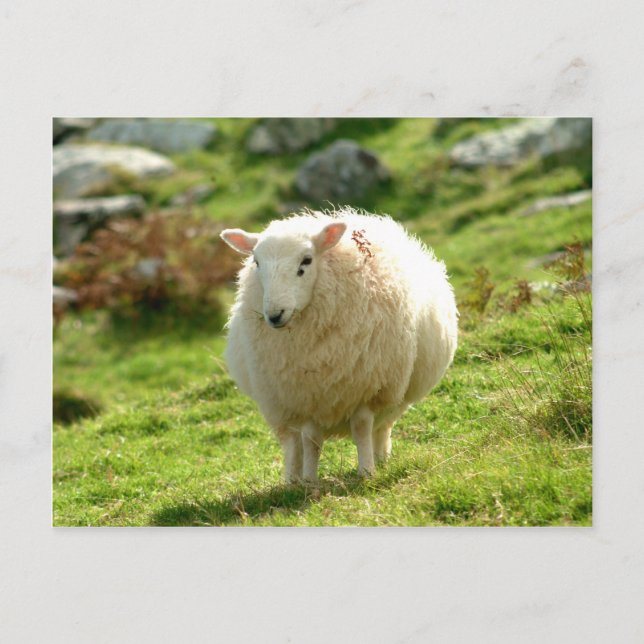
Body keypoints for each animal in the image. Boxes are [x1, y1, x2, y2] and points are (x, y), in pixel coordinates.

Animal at [220, 208, 458, 483]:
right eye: (257, 263)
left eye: (306, 261)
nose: (274, 315)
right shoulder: (305, 396)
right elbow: (310, 440)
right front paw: (309, 481)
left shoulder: (365, 387)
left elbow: (362, 427)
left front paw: (367, 472)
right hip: (280, 402)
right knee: (293, 442)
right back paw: (292, 479)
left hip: (393, 392)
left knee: (381, 426)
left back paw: (381, 458)